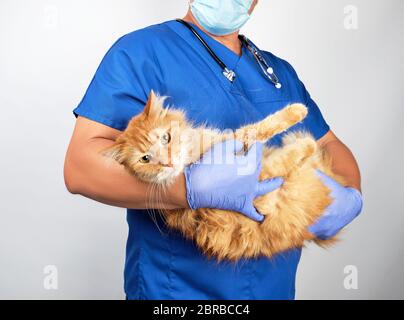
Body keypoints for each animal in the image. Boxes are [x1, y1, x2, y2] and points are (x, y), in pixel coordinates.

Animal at [102, 91, 342, 262]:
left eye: (165, 137)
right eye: (145, 159)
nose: (167, 162)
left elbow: (255, 130)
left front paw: (297, 114)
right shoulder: (256, 177)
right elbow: (267, 141)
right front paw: (303, 135)